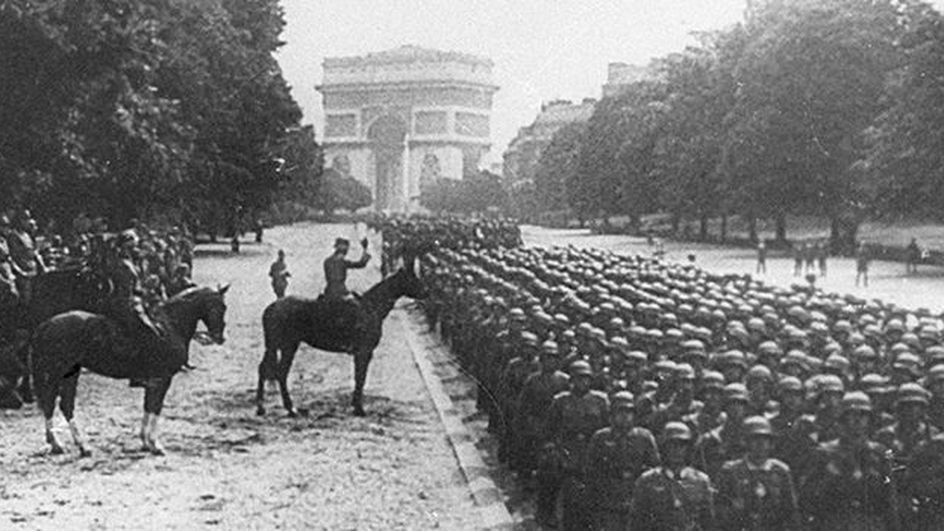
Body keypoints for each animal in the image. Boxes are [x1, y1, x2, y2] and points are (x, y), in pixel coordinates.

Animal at [31, 286, 229, 458]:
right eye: (219, 306)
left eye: (224, 307)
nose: (219, 338)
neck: (168, 325)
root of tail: (46, 324)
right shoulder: (162, 379)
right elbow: (155, 407)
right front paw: (154, 444)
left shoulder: (154, 382)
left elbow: (148, 407)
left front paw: (145, 442)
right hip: (57, 373)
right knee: (55, 405)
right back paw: (67, 445)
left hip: (69, 374)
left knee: (61, 406)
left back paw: (73, 445)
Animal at [254, 256, 424, 418]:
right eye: (412, 278)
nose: (427, 291)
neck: (370, 307)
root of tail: (272, 307)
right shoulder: (364, 352)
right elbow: (360, 378)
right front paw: (359, 408)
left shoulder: (361, 353)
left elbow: (358, 377)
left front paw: (355, 405)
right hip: (286, 345)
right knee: (280, 372)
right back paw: (287, 408)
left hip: (278, 346)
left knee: (266, 370)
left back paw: (266, 408)